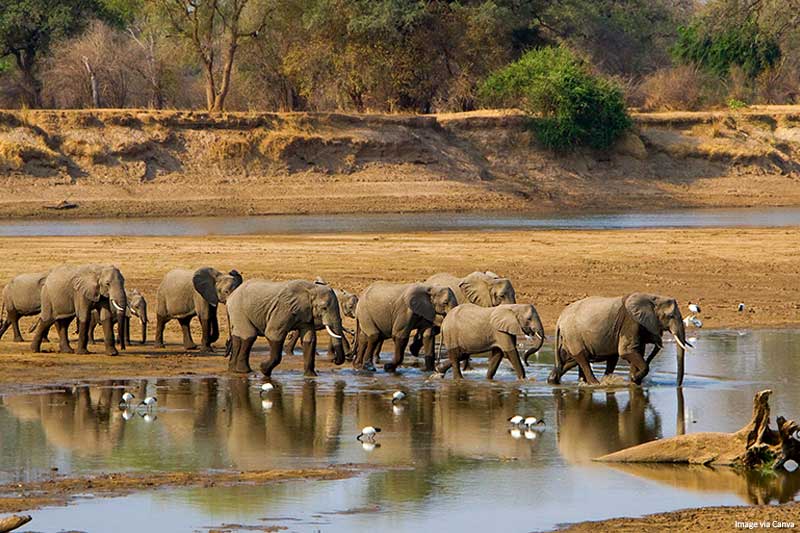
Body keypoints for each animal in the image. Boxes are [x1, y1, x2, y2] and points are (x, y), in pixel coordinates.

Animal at [549, 293, 692, 386]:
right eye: (671, 316)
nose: (678, 385)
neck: (652, 298)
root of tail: (559, 320)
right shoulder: (631, 322)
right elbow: (627, 352)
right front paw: (634, 379)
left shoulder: (640, 326)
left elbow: (637, 352)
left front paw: (633, 381)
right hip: (573, 335)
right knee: (582, 358)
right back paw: (595, 384)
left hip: (569, 337)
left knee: (571, 360)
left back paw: (553, 380)